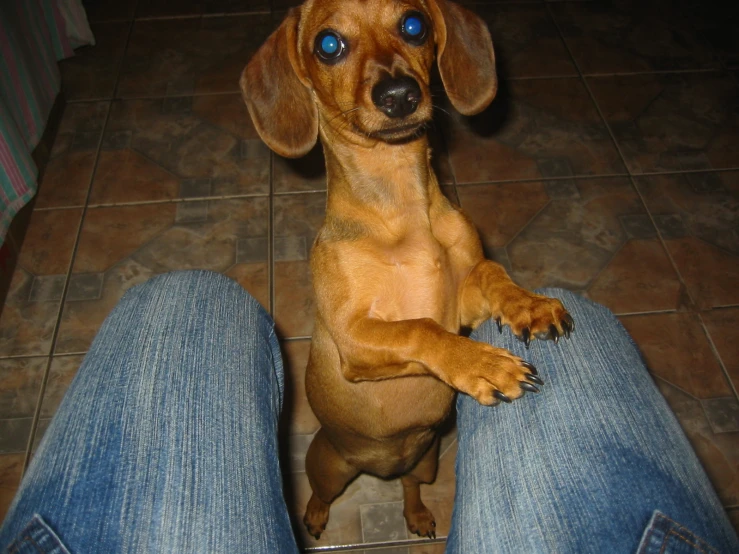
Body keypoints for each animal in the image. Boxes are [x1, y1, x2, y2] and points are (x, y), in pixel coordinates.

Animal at [240, 0, 576, 540]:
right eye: (328, 44)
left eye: (414, 24)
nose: (399, 94)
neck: (400, 211)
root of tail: (381, 467)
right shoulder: (354, 337)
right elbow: (421, 329)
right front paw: (481, 364)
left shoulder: (462, 307)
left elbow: (489, 274)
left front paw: (528, 305)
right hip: (328, 466)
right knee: (321, 493)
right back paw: (314, 517)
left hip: (428, 462)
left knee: (410, 488)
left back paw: (417, 514)